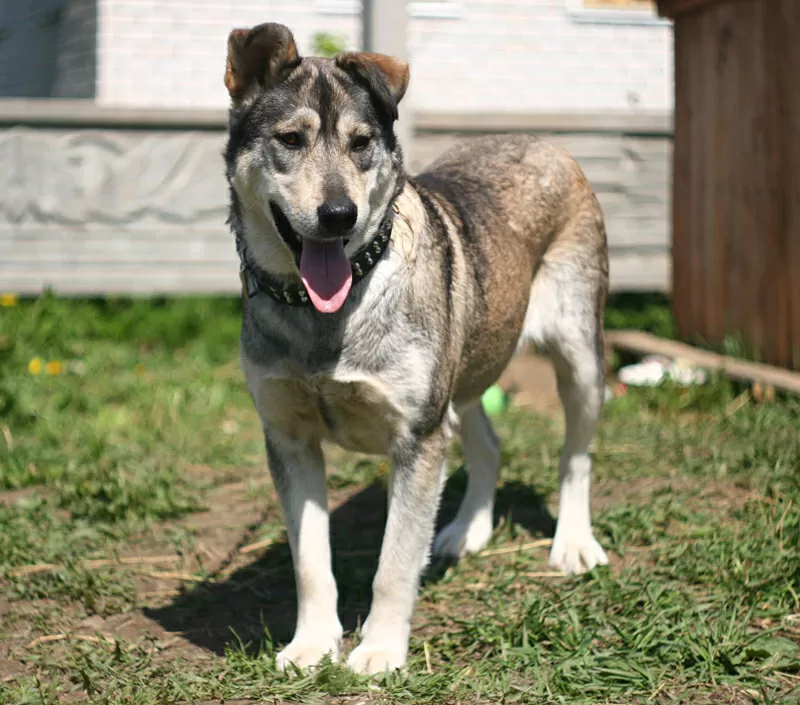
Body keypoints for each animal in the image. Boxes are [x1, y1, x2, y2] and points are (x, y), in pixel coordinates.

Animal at [222, 20, 608, 672]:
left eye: (361, 144)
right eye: (291, 139)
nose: (339, 215)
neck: (327, 314)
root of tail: (540, 141)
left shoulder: (417, 437)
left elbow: (395, 564)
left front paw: (379, 651)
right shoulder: (289, 437)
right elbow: (311, 562)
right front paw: (312, 645)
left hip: (578, 354)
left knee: (575, 456)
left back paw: (574, 545)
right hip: (466, 364)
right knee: (488, 443)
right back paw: (464, 532)